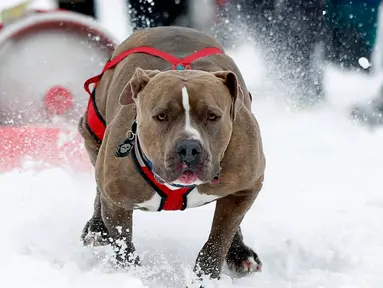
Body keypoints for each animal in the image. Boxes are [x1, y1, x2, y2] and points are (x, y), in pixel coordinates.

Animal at [79, 25, 266, 282]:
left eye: (212, 116)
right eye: (161, 116)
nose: (189, 148)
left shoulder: (248, 185)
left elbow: (221, 235)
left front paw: (206, 276)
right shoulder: (117, 201)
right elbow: (123, 244)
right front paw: (132, 274)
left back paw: (240, 254)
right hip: (92, 133)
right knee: (99, 186)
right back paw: (96, 228)